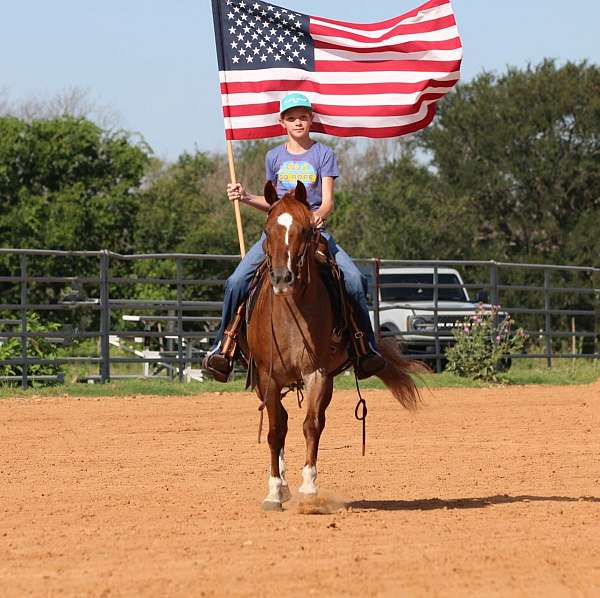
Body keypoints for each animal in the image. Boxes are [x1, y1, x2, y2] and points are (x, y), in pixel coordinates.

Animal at [246, 180, 420, 512]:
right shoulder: (268, 375)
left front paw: (309, 489)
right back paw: (282, 485)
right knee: (281, 422)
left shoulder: (319, 373)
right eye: (267, 229)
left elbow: (311, 425)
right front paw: (274, 491)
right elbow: (274, 432)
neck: (290, 313)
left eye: (305, 230)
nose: (282, 277)